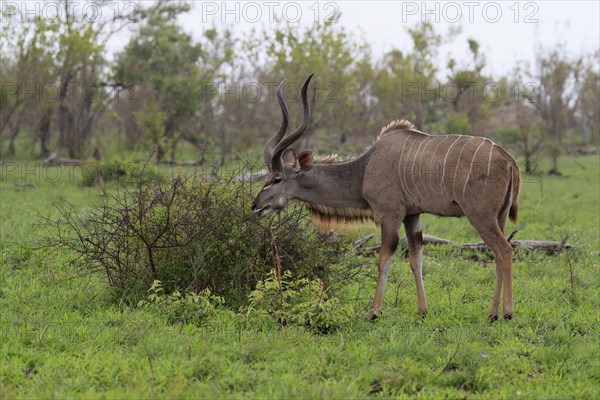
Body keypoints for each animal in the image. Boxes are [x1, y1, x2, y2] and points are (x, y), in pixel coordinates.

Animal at [253, 74, 520, 318]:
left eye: (277, 179)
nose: (256, 206)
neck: (365, 168)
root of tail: (509, 160)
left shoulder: (390, 214)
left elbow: (384, 258)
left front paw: (374, 311)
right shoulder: (412, 215)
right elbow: (415, 259)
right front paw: (422, 310)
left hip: (480, 216)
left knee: (504, 250)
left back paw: (506, 313)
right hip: (498, 217)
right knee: (498, 252)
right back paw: (492, 313)